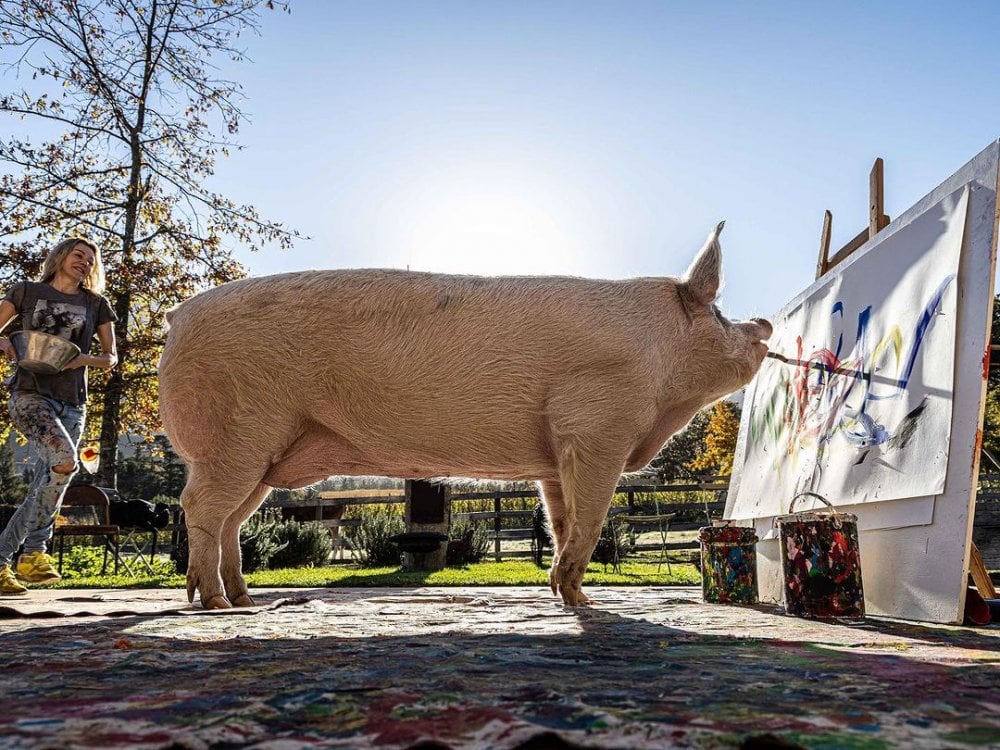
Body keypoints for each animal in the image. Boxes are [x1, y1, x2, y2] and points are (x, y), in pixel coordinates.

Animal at [160, 223, 768, 612]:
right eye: (718, 313)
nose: (762, 323)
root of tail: (177, 316)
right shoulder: (597, 425)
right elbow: (592, 518)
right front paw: (582, 599)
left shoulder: (556, 452)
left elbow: (562, 519)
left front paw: (573, 598)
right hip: (238, 432)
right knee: (202, 507)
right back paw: (214, 603)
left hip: (262, 455)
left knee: (233, 519)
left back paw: (243, 598)